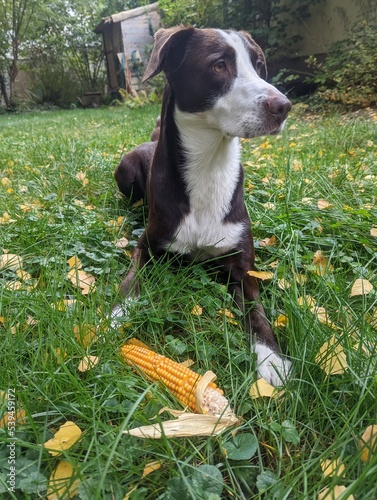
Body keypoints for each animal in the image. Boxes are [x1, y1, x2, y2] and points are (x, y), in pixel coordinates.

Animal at [111, 26, 290, 386]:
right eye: (219, 65)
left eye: (258, 65)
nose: (284, 106)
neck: (210, 165)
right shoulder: (147, 244)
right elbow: (132, 277)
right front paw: (118, 314)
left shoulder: (242, 265)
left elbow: (257, 310)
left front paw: (270, 356)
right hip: (125, 171)